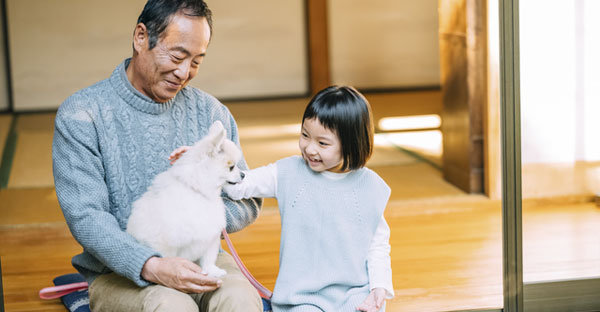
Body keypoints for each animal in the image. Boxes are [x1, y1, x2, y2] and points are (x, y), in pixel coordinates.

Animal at [127, 120, 244, 276]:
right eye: (231, 167)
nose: (244, 174)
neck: (197, 191)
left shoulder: (211, 237)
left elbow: (208, 259)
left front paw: (212, 271)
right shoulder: (166, 242)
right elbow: (169, 259)